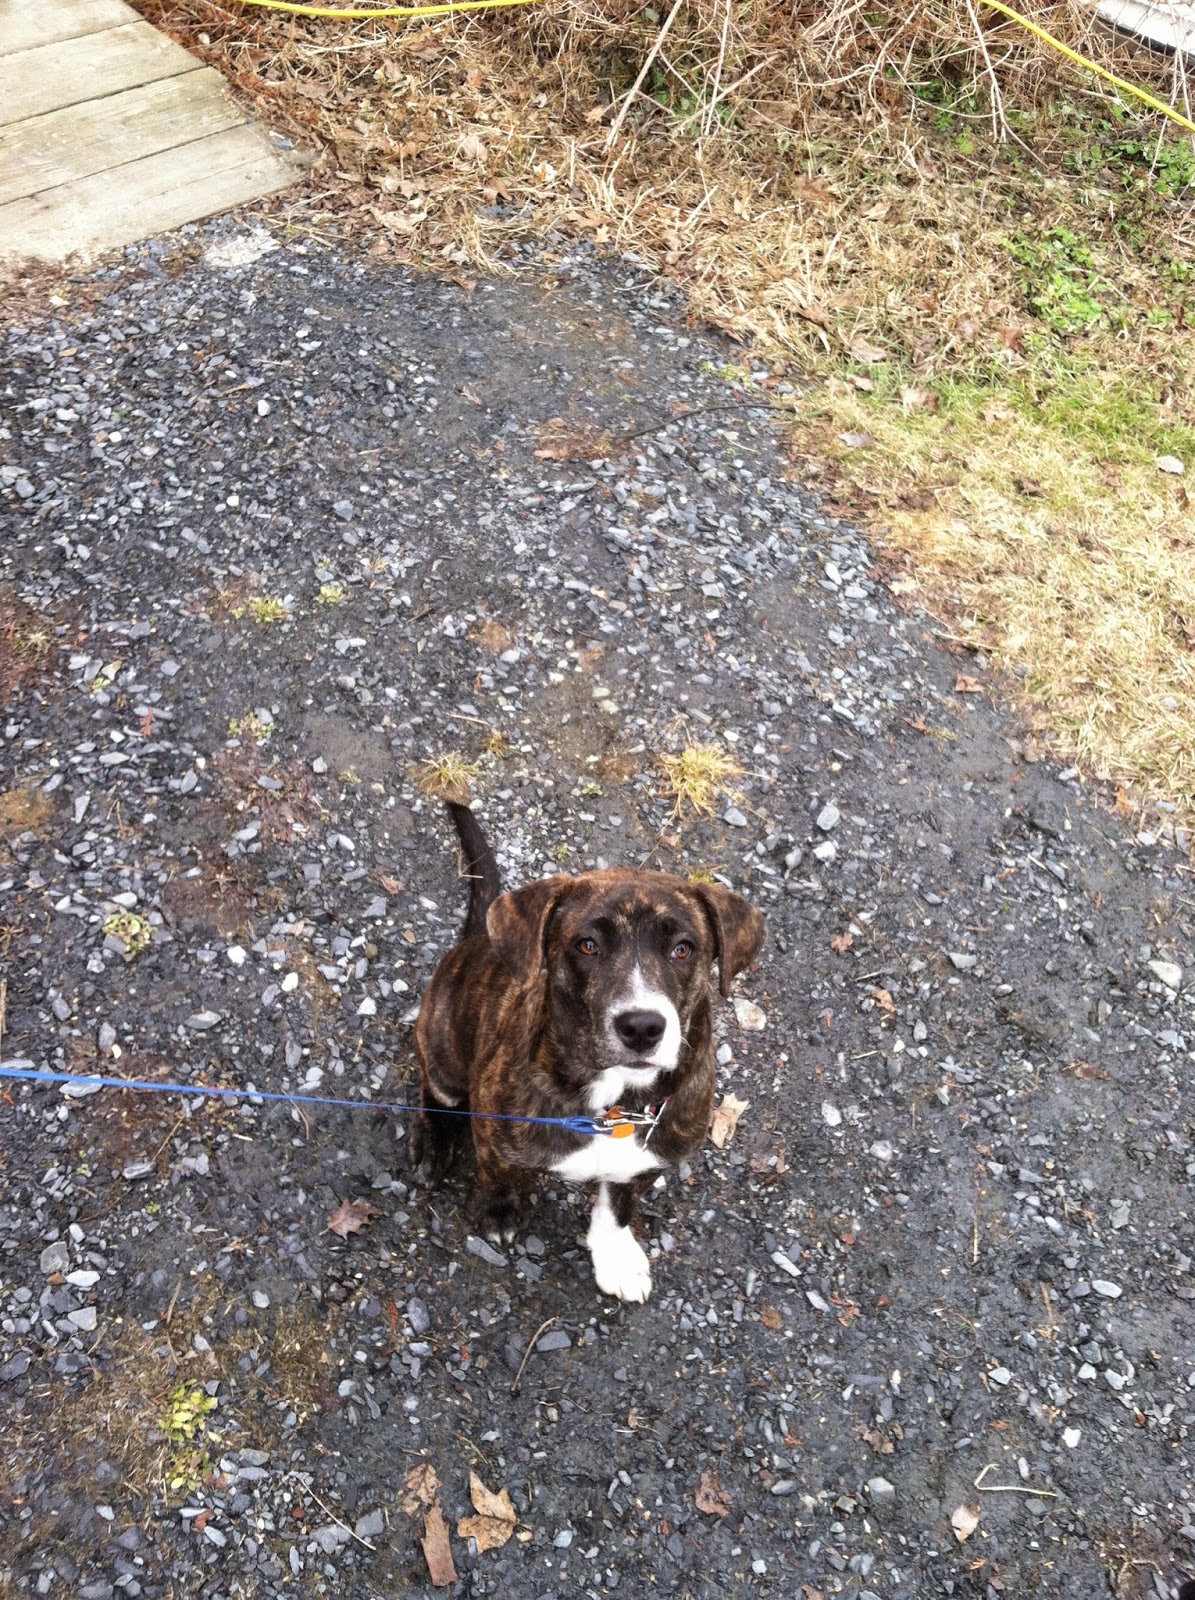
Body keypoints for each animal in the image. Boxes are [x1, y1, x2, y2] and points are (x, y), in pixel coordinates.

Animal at [410, 802, 765, 1302]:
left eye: (683, 949)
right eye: (587, 945)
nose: (642, 1026)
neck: (615, 1105)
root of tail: (474, 941)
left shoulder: (648, 1159)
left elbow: (619, 1205)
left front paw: (615, 1255)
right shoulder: (494, 1128)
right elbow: (497, 1171)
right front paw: (497, 1208)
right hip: (442, 1050)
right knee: (432, 1091)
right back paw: (431, 1144)